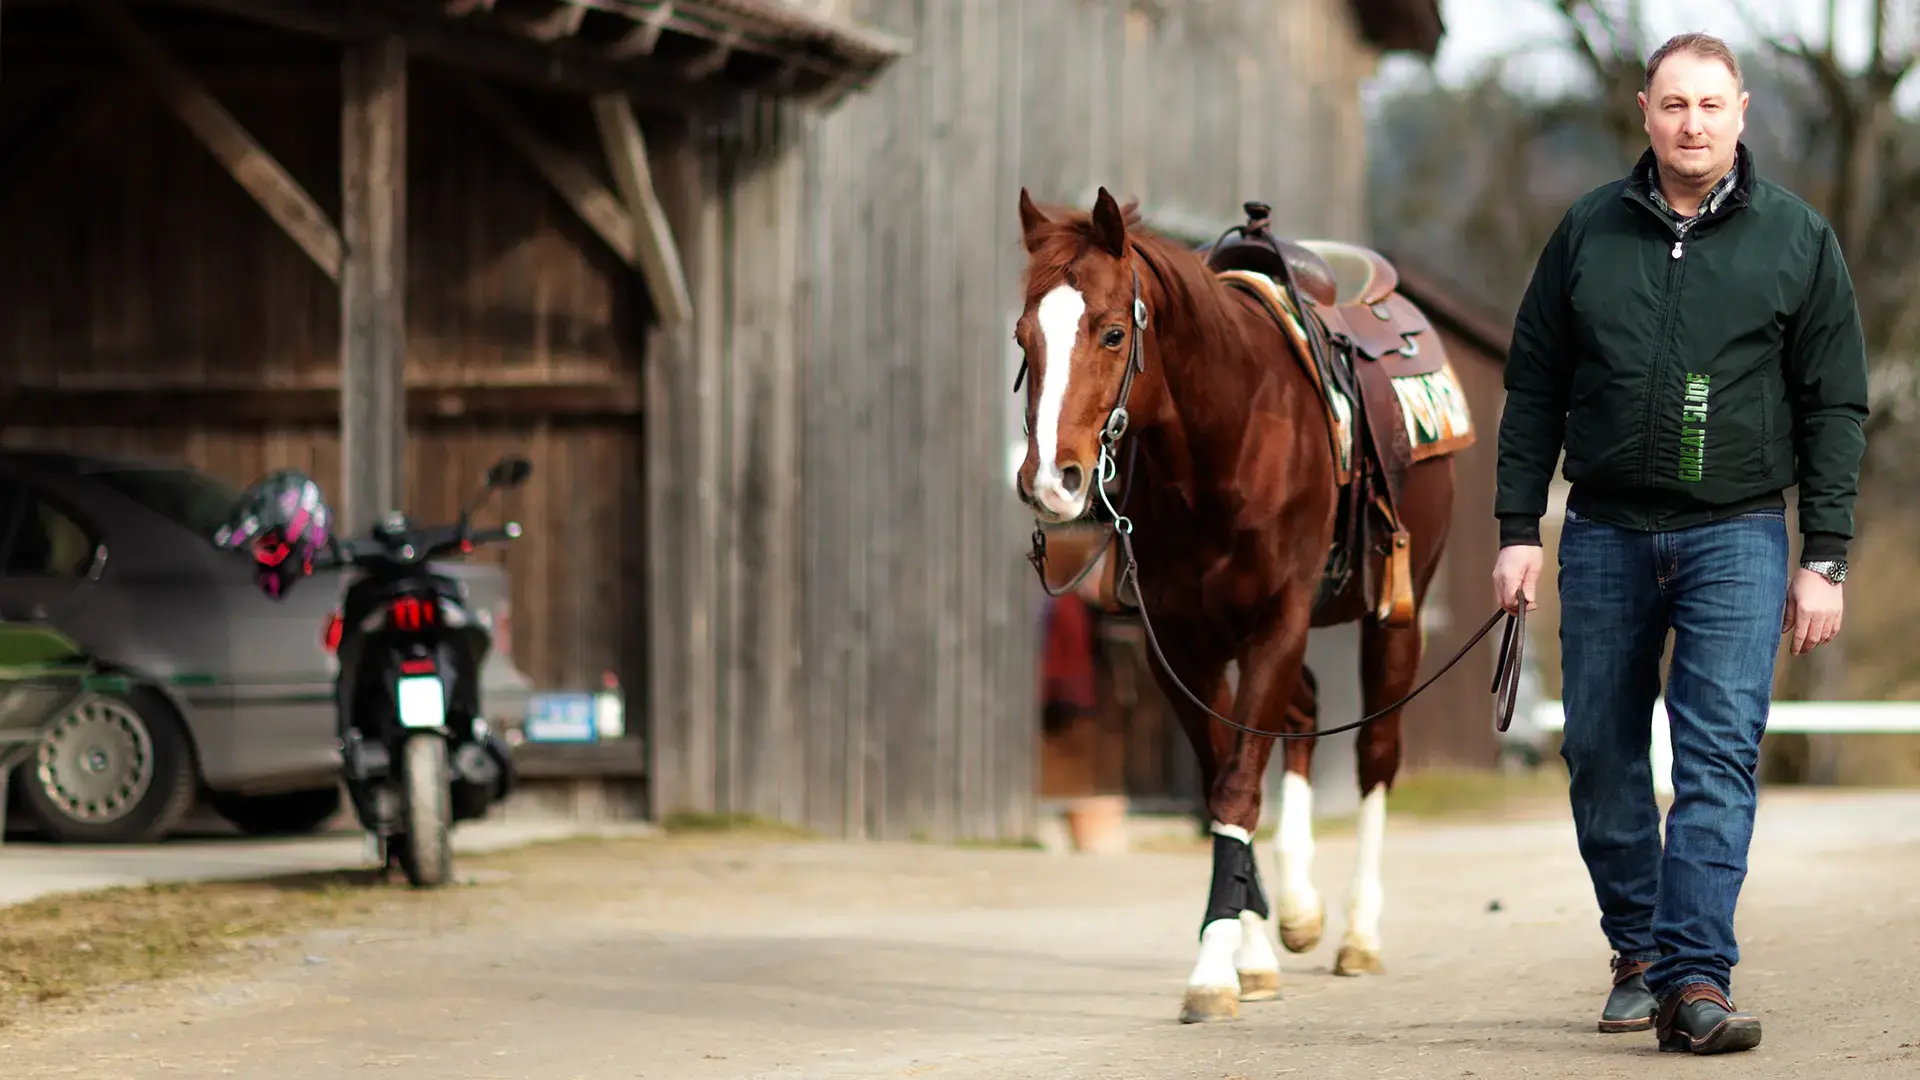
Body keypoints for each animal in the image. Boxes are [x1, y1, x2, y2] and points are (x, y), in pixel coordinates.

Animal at [1011, 187, 1483, 1024]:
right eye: (1023, 338)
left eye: (1110, 333)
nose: (1051, 482)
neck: (1221, 443)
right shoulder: (1177, 642)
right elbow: (1221, 782)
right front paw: (1248, 953)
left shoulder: (1277, 623)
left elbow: (1236, 785)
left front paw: (1210, 970)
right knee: (1301, 716)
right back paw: (1296, 913)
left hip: (1394, 614)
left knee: (1375, 753)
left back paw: (1359, 934)